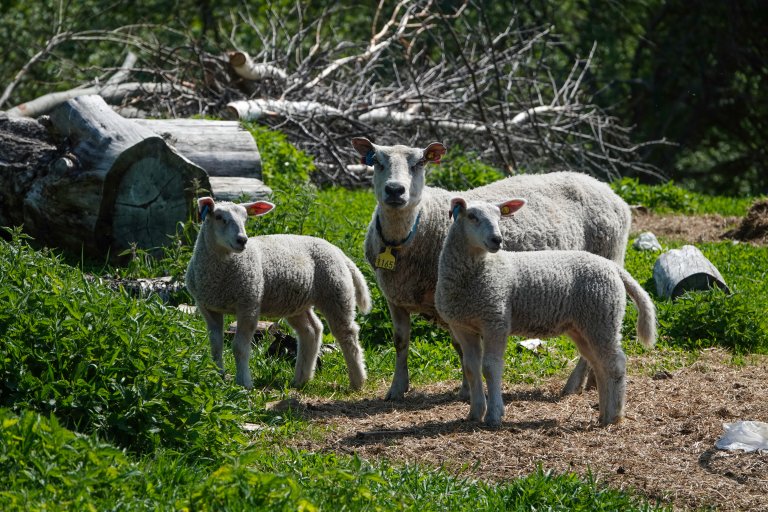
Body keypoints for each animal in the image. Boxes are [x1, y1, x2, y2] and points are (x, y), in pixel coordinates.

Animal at [183, 196, 368, 388]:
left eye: (246, 218)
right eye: (219, 217)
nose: (242, 240)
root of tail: (337, 250)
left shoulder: (249, 304)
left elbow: (239, 347)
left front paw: (244, 382)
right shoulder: (207, 307)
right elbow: (216, 345)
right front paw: (217, 377)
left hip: (336, 292)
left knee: (347, 333)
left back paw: (357, 381)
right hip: (296, 302)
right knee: (311, 330)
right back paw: (301, 379)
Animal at [352, 138, 632, 402]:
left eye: (420, 163)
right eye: (377, 162)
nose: (395, 190)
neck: (408, 236)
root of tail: (604, 186)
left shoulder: (452, 300)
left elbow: (460, 347)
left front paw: (467, 391)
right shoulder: (394, 297)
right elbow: (400, 342)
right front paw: (397, 388)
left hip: (604, 265)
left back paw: (574, 385)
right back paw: (592, 382)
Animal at [436, 198, 656, 426]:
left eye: (499, 218)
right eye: (472, 216)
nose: (497, 239)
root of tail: (613, 267)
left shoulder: (496, 320)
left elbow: (490, 367)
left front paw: (494, 415)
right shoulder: (462, 325)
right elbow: (471, 368)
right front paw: (475, 412)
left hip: (603, 317)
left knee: (615, 364)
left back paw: (614, 416)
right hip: (584, 325)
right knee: (599, 364)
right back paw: (603, 415)